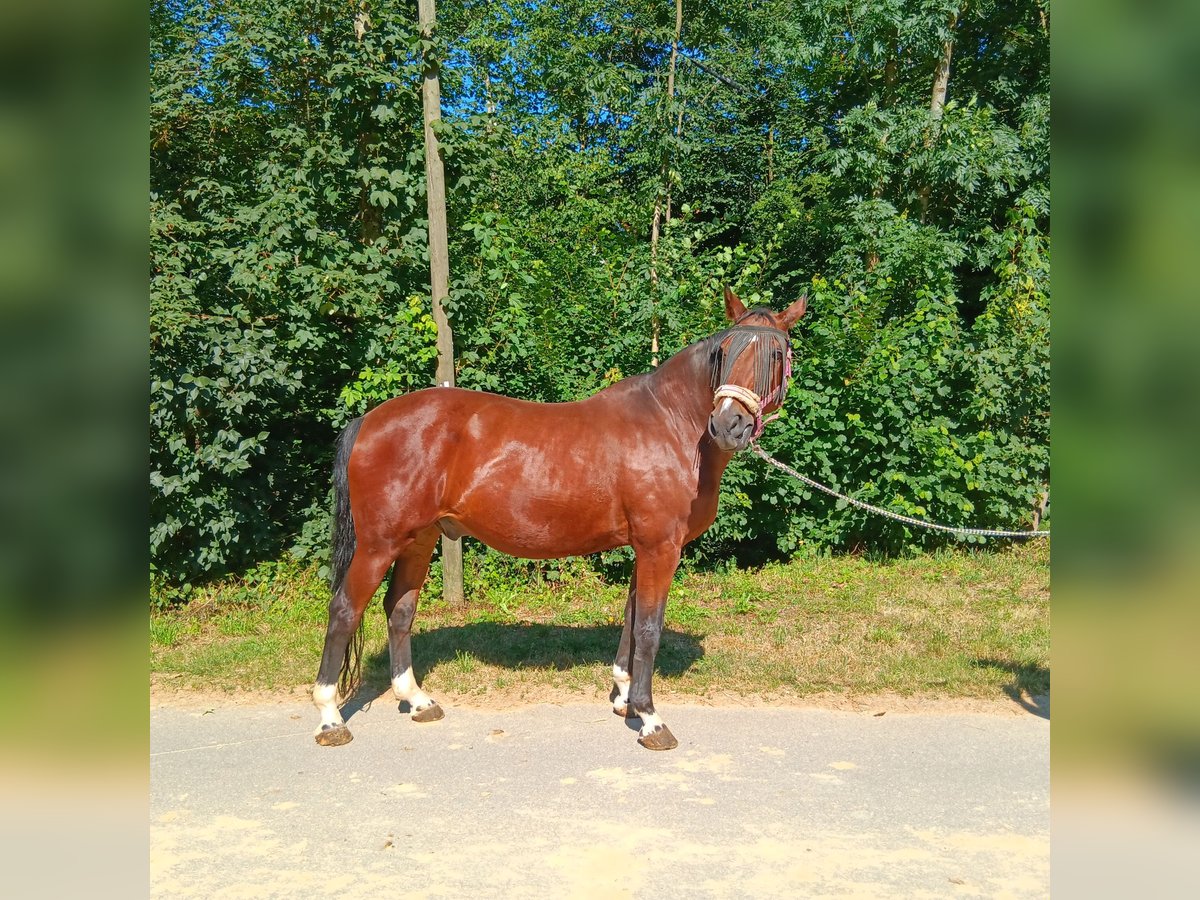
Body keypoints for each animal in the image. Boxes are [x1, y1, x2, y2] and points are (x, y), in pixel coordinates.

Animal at [314, 286, 811, 748]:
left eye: (776, 354)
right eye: (724, 353)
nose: (728, 425)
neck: (672, 424)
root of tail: (369, 420)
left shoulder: (643, 548)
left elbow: (631, 618)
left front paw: (623, 698)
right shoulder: (660, 548)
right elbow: (649, 627)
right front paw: (650, 719)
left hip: (418, 540)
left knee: (399, 610)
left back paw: (417, 700)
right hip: (379, 544)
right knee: (344, 609)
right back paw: (330, 718)